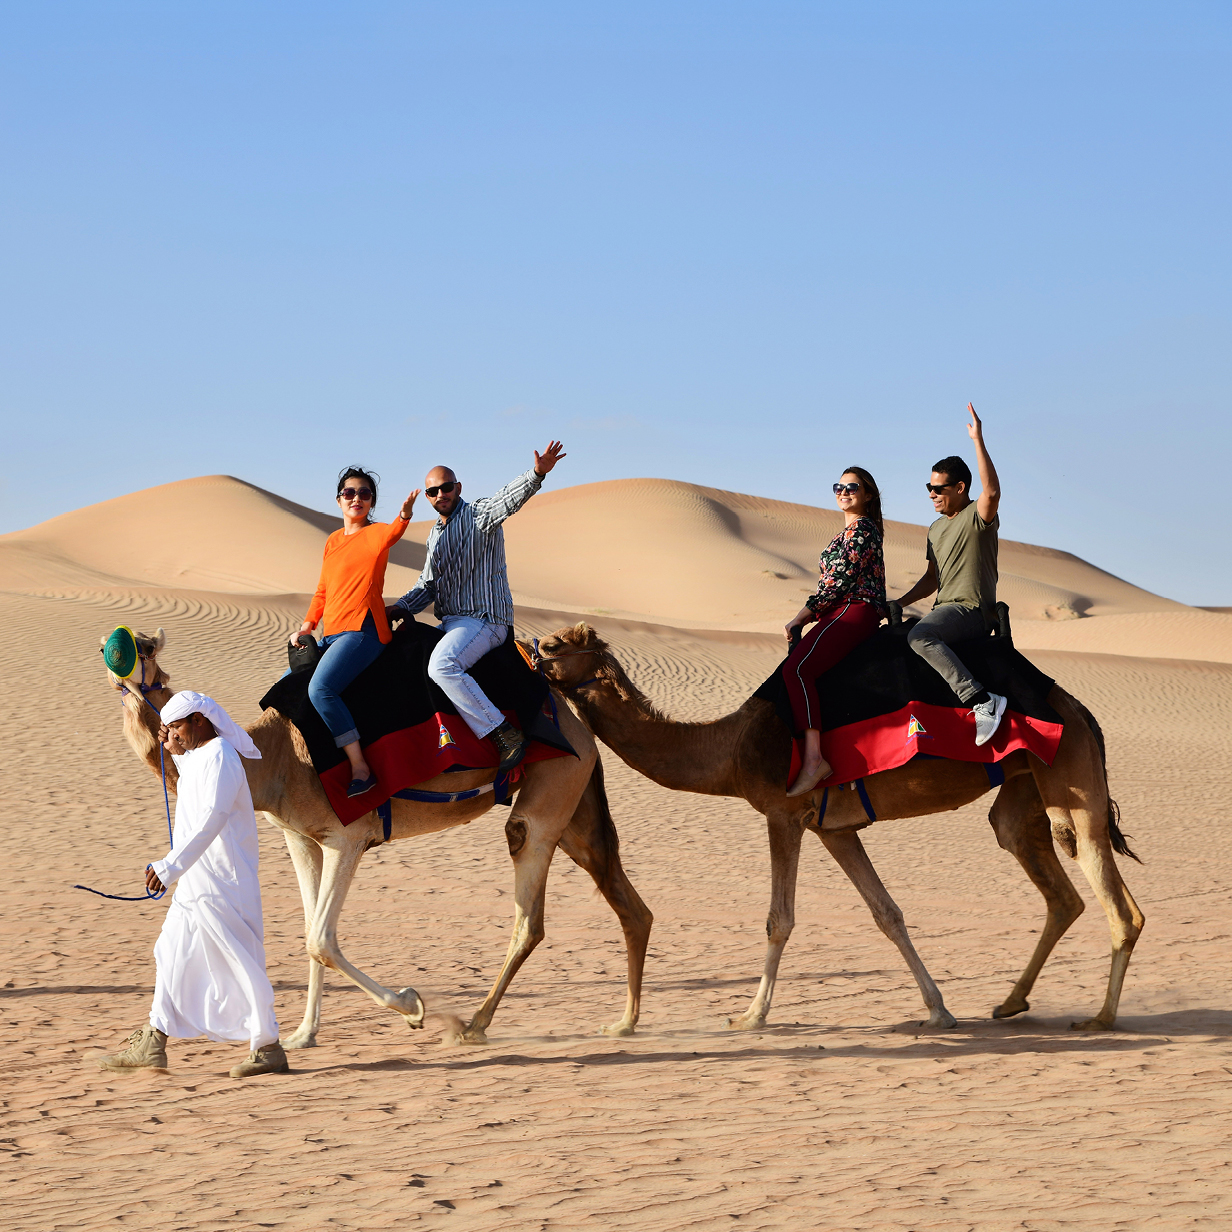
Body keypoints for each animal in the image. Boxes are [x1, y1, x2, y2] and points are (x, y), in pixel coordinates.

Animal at [99, 630, 655, 1044]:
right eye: (119, 645)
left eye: (144, 649)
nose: (116, 654)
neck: (271, 758)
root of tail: (575, 719)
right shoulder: (301, 838)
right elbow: (309, 934)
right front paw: (303, 1034)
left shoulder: (348, 838)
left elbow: (321, 938)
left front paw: (413, 1006)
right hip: (576, 804)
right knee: (629, 904)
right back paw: (624, 1023)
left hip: (553, 788)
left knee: (529, 908)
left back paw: (473, 1024)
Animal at [534, 620, 1148, 1034]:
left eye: (554, 646)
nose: (528, 645)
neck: (729, 748)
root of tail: (1079, 709)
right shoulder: (833, 828)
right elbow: (887, 913)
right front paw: (939, 1010)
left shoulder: (783, 813)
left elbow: (779, 919)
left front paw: (751, 1015)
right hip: (1026, 790)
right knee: (1050, 878)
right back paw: (1011, 1002)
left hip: (1070, 776)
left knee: (1117, 900)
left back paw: (1101, 1018)